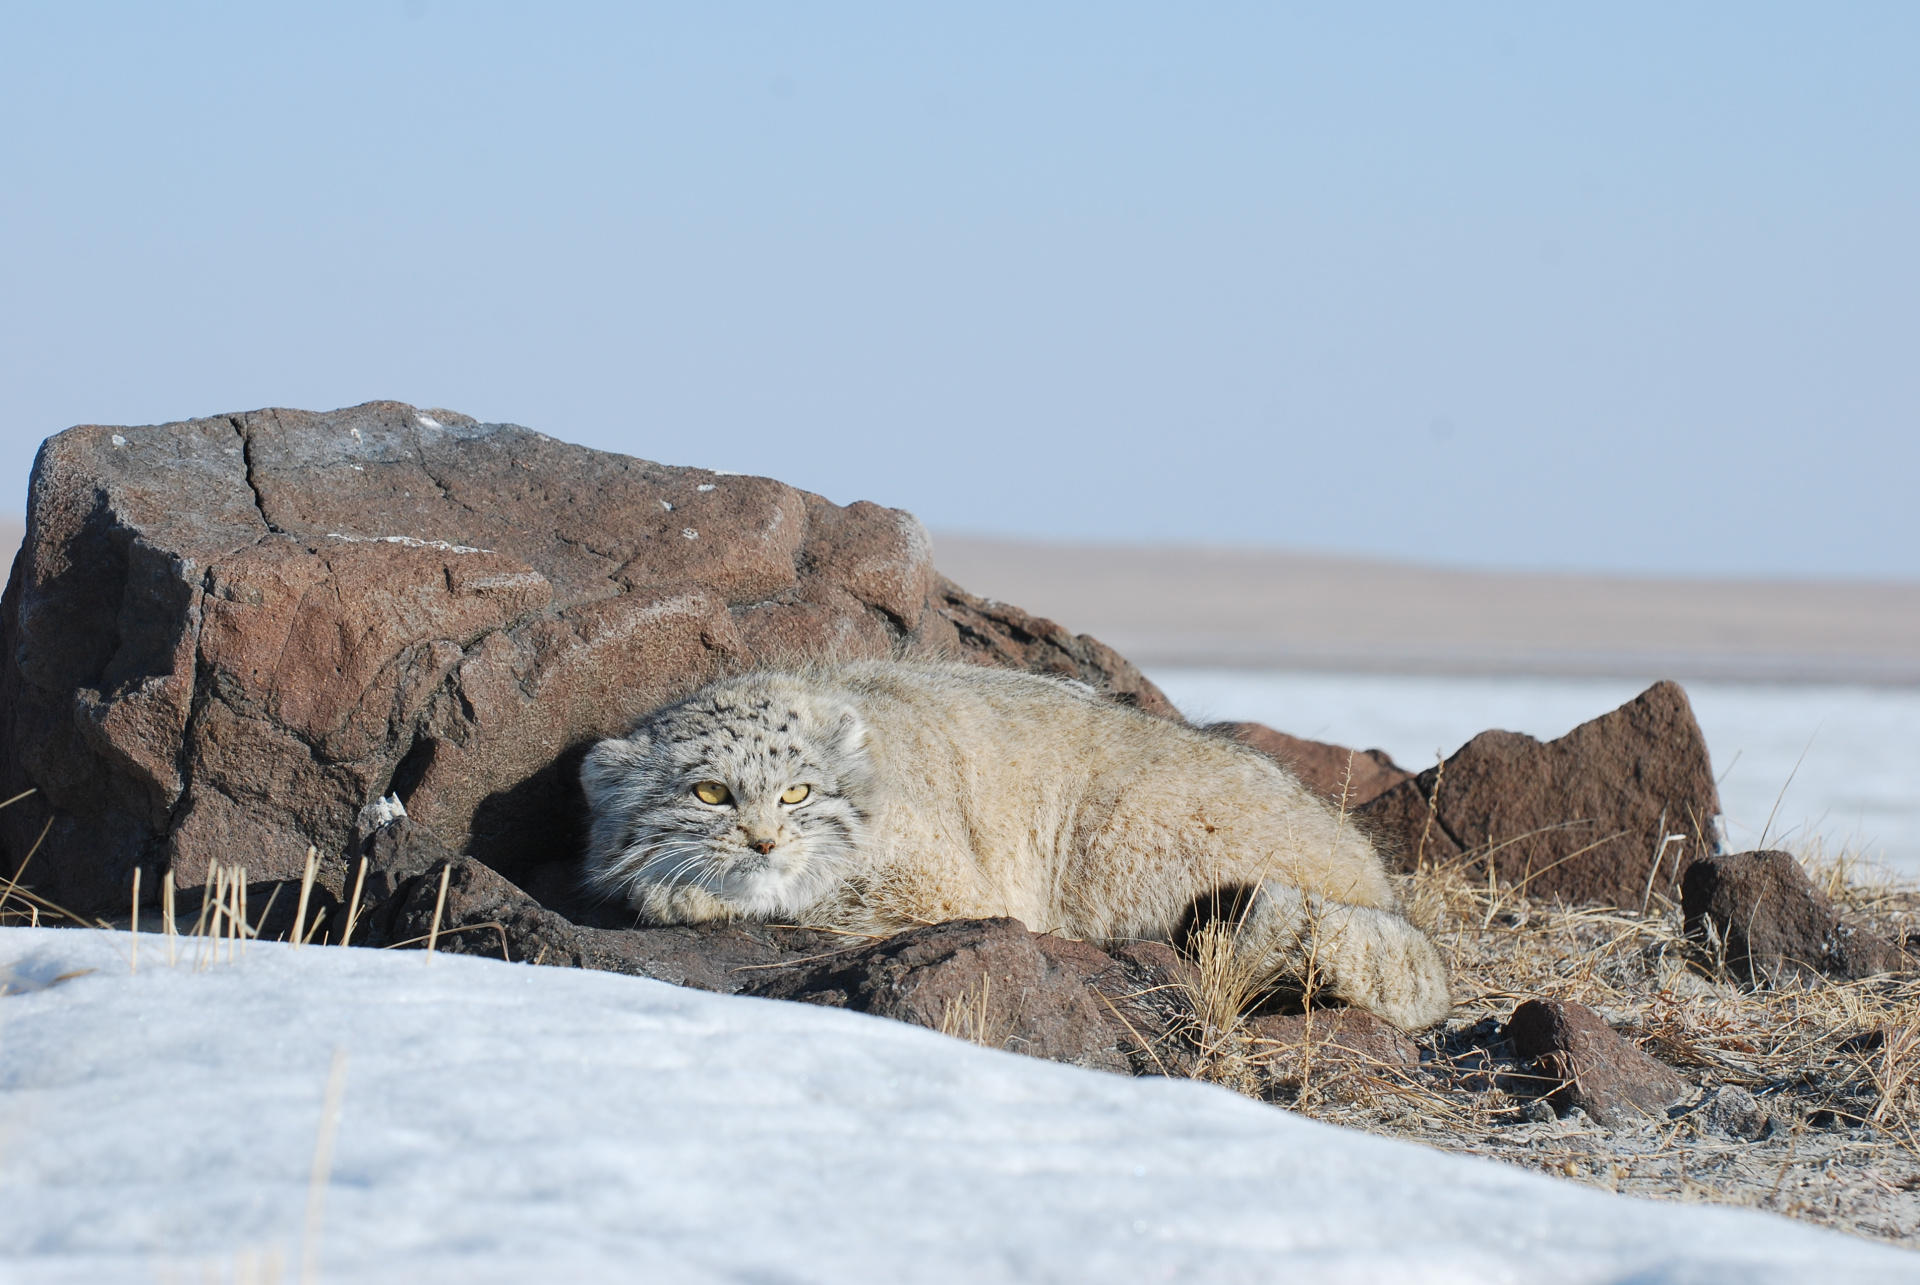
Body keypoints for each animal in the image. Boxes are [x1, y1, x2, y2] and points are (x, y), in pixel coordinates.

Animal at [576, 656, 1443, 1029]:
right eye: (710, 792)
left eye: (798, 792)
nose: (761, 842)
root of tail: (1380, 886)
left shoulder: (943, 887)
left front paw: (675, 893)